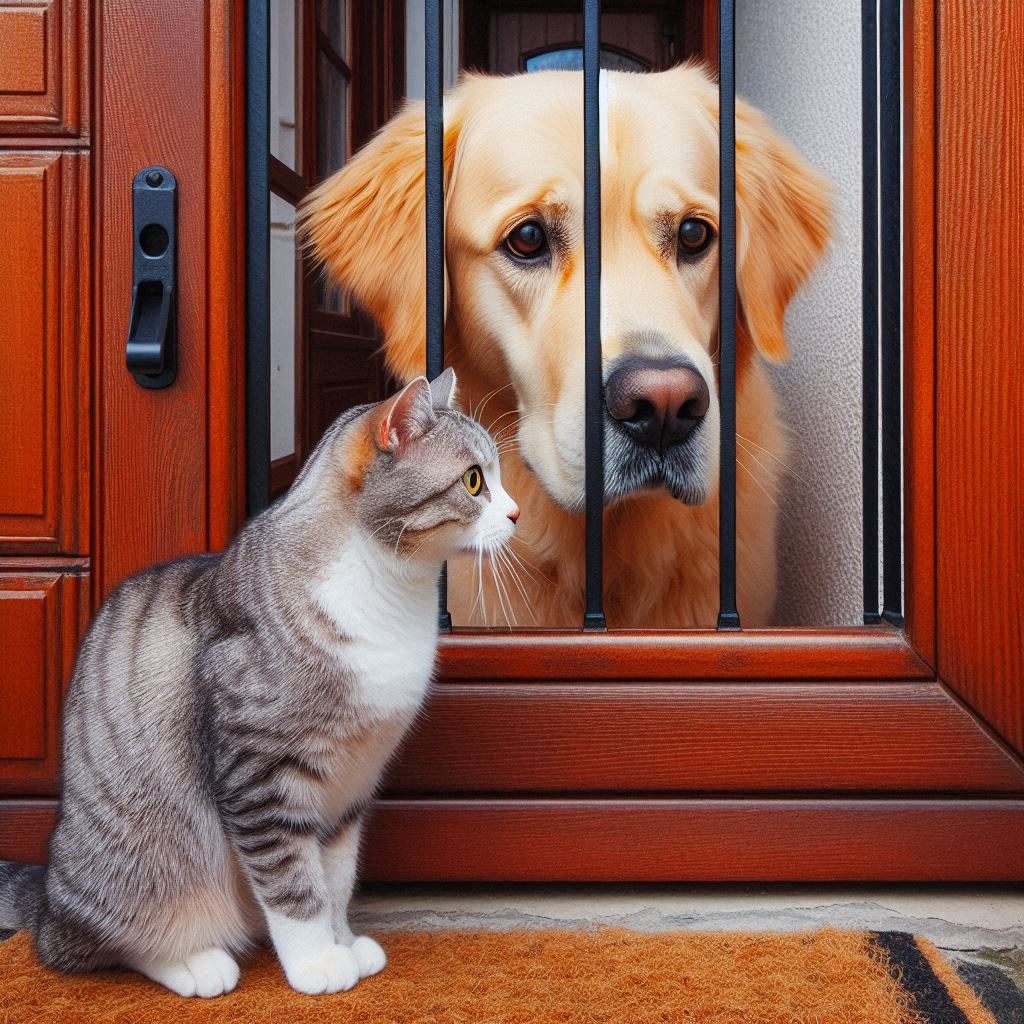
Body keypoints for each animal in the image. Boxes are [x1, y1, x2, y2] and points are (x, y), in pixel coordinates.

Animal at [0, 370, 516, 999]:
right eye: (474, 481)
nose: (516, 513)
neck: (388, 594)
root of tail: (50, 895)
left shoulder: (349, 786)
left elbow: (335, 880)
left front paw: (342, 941)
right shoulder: (259, 776)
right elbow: (294, 884)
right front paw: (317, 962)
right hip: (137, 870)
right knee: (93, 945)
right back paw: (195, 962)